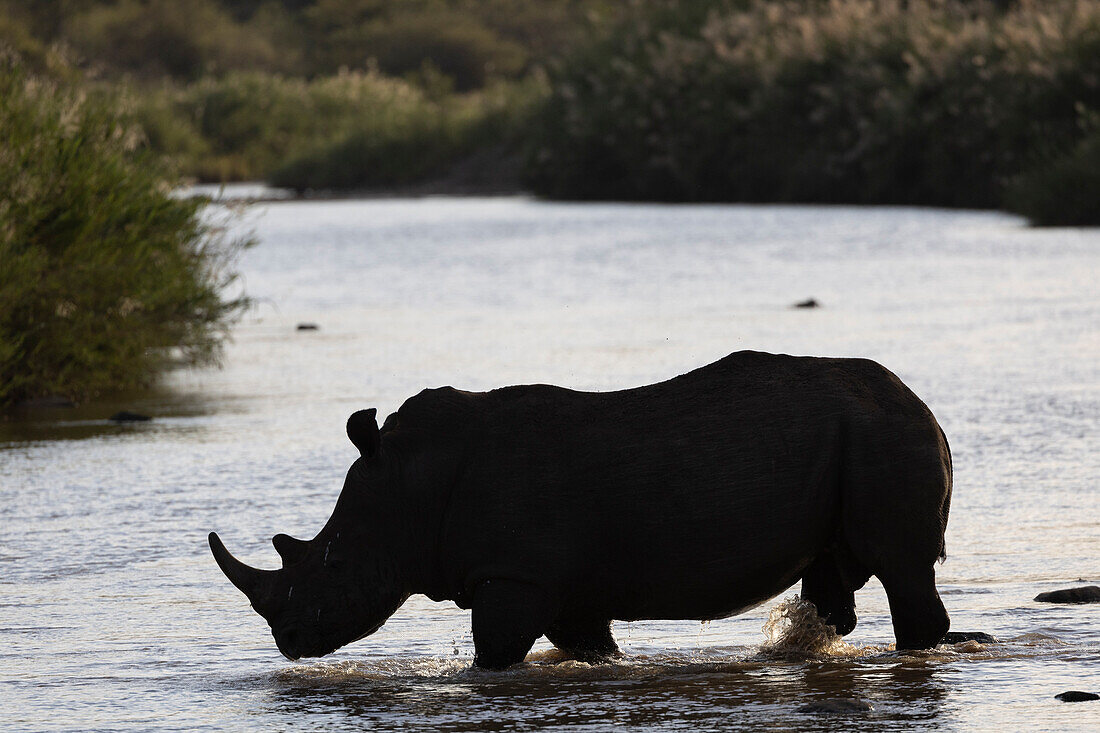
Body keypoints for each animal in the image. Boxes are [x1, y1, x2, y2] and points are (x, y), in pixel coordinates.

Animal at [210, 352, 950, 664]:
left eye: (333, 566)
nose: (287, 642)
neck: (408, 483)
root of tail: (924, 406)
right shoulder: (557, 584)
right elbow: (589, 647)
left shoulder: (514, 573)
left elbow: (494, 653)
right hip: (859, 437)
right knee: (834, 578)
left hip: (884, 435)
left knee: (902, 569)